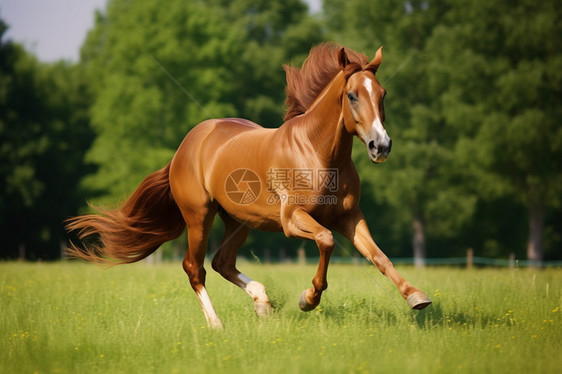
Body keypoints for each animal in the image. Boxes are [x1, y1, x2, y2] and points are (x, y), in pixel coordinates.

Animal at [68, 43, 430, 328]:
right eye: (352, 95)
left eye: (382, 94)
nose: (381, 146)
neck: (317, 152)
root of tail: (186, 145)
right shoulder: (293, 220)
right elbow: (326, 241)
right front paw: (308, 298)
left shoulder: (350, 217)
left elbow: (378, 256)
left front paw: (417, 296)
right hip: (199, 216)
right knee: (195, 267)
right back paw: (217, 324)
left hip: (238, 221)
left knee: (222, 262)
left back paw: (262, 302)